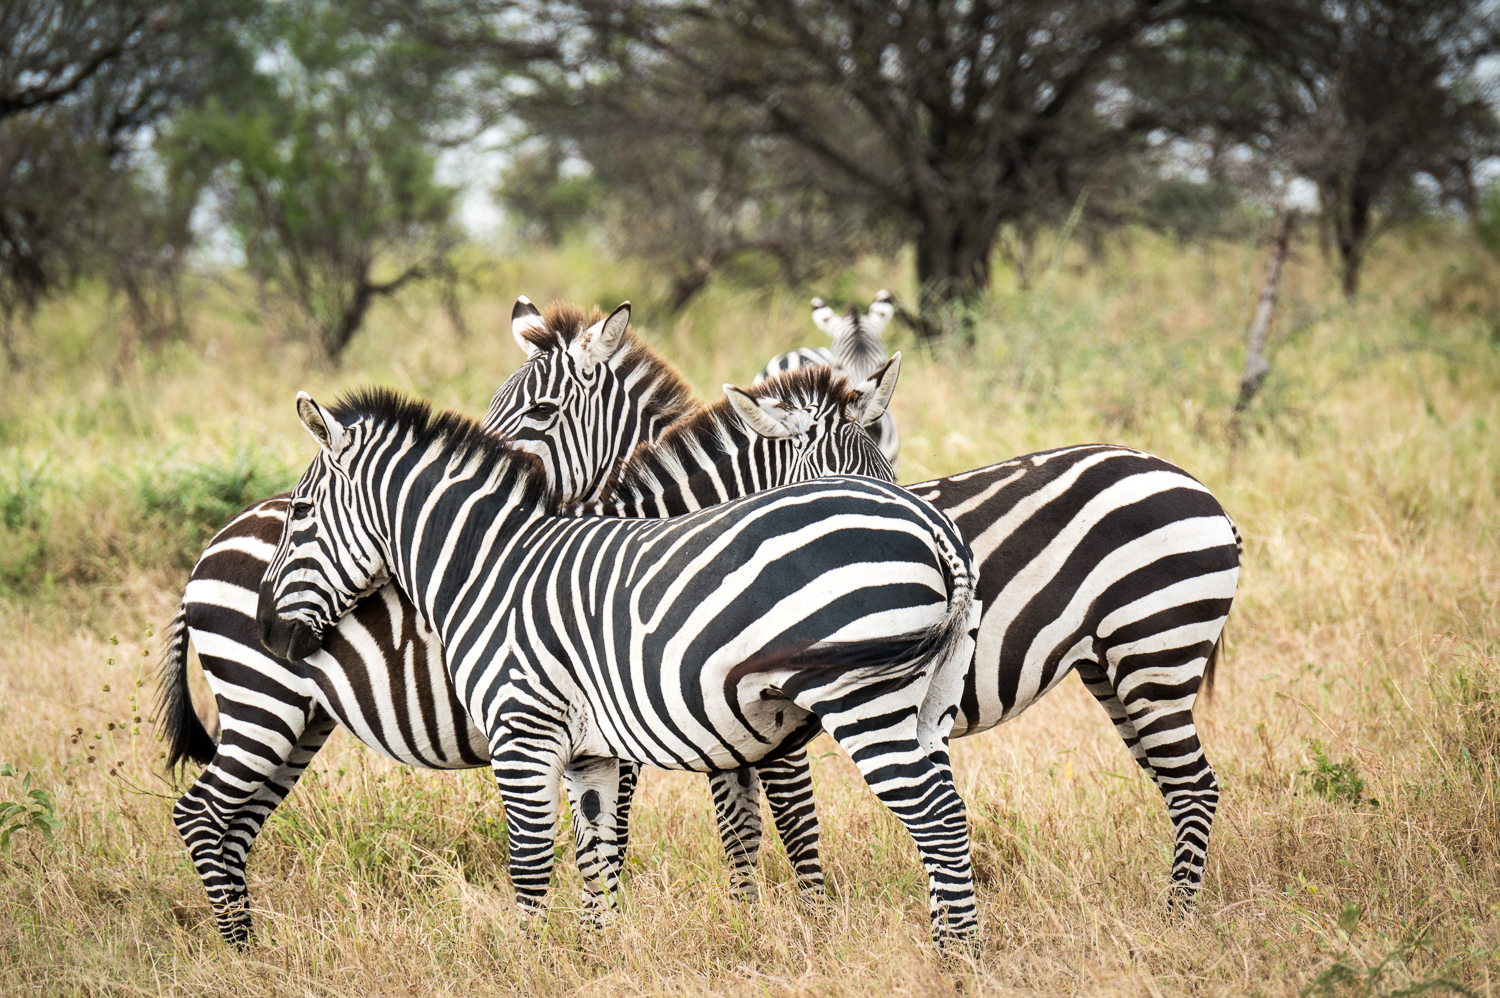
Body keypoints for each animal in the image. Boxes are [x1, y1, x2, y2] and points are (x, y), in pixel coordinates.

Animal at [258, 384, 984, 948]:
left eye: (300, 512)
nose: (268, 631)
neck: (492, 569)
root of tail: (935, 530)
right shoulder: (592, 752)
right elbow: (599, 854)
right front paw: (595, 955)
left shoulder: (522, 731)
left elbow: (531, 862)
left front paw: (528, 963)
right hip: (929, 702)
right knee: (949, 817)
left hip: (866, 703)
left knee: (937, 821)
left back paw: (957, 960)